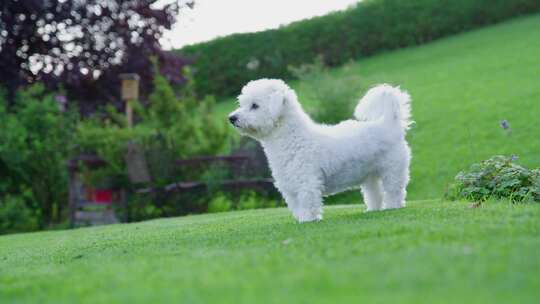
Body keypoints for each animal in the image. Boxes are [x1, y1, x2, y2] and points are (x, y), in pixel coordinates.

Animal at [229, 79, 414, 222]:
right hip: (369, 176)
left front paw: (307, 220)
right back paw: (372, 210)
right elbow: (296, 206)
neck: (293, 139)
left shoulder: (306, 183)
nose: (232, 118)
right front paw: (300, 219)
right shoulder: (289, 187)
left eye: (254, 105)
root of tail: (389, 123)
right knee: (375, 194)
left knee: (394, 192)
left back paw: (392, 207)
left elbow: (307, 204)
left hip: (392, 171)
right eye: (242, 104)